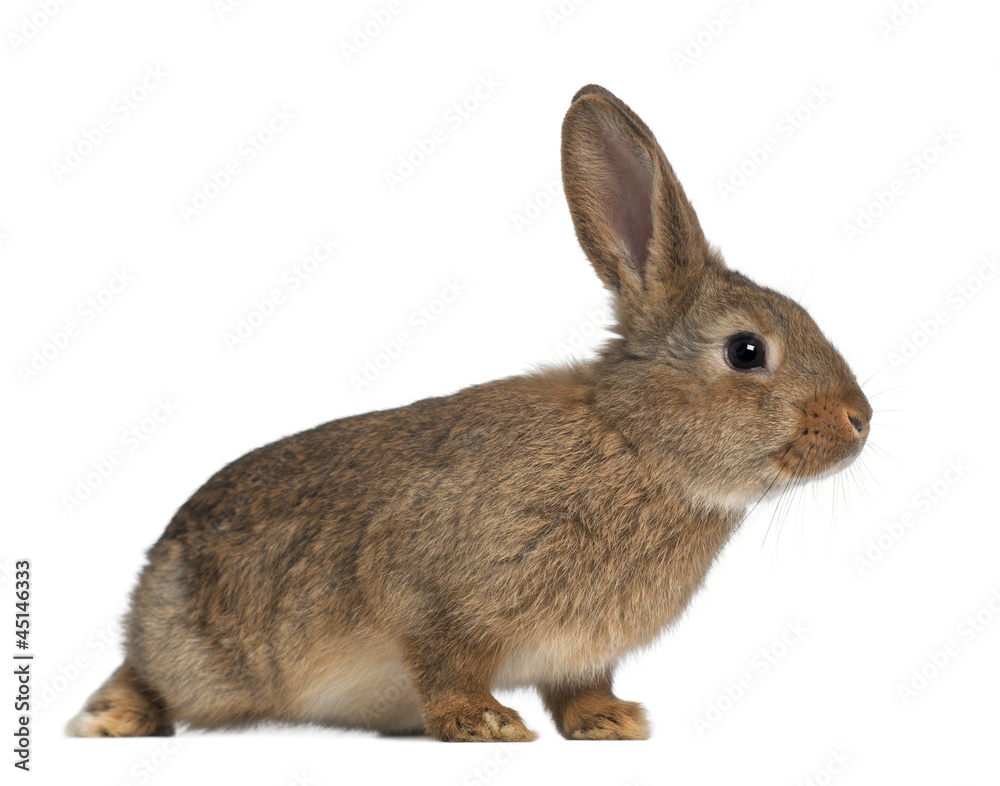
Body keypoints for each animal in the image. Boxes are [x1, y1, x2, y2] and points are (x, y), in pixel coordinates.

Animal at [67, 84, 871, 742]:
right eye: (746, 351)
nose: (861, 421)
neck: (633, 443)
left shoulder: (580, 654)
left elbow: (580, 687)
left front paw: (611, 721)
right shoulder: (427, 592)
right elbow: (443, 661)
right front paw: (485, 723)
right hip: (200, 654)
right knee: (145, 671)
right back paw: (111, 718)